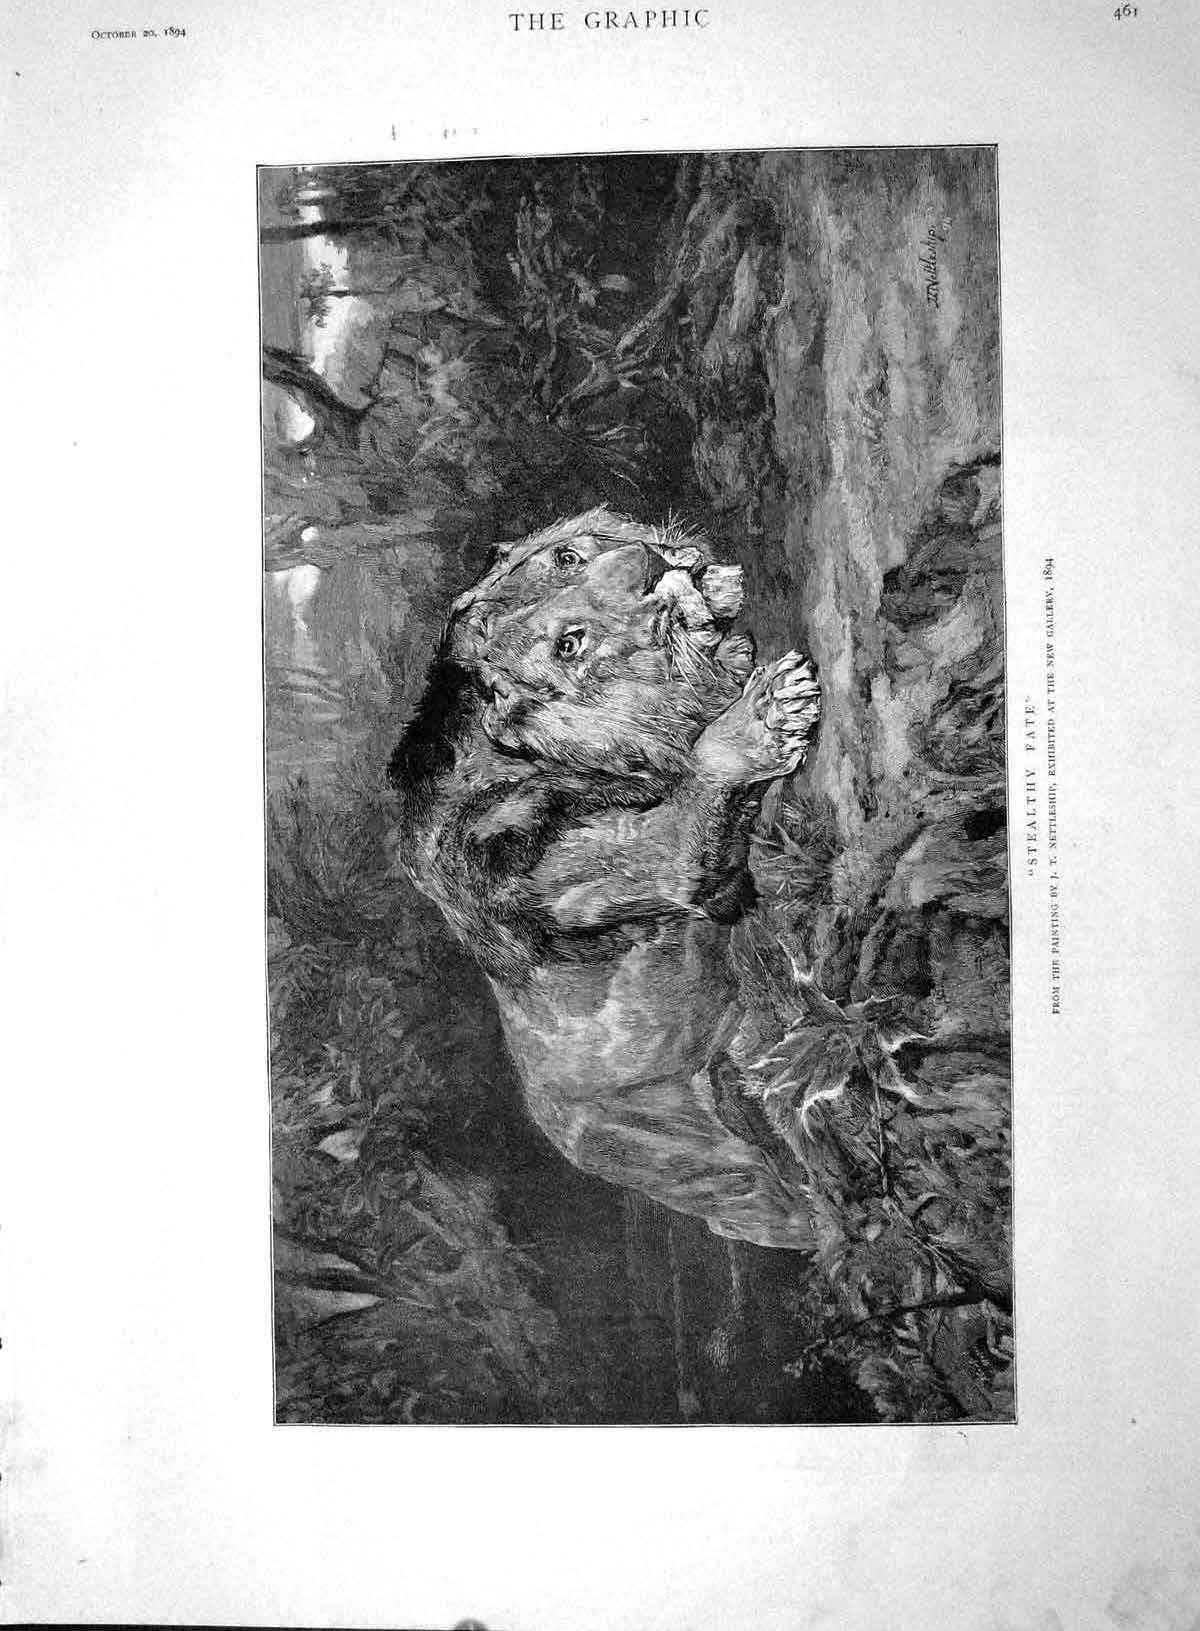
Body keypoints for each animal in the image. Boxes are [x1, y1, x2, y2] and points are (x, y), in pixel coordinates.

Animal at [388, 509, 821, 1247]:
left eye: (569, 556)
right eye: (569, 645)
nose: (648, 570)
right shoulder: (575, 866)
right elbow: (697, 792)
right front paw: (768, 712)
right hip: (692, 1161)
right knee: (782, 1213)